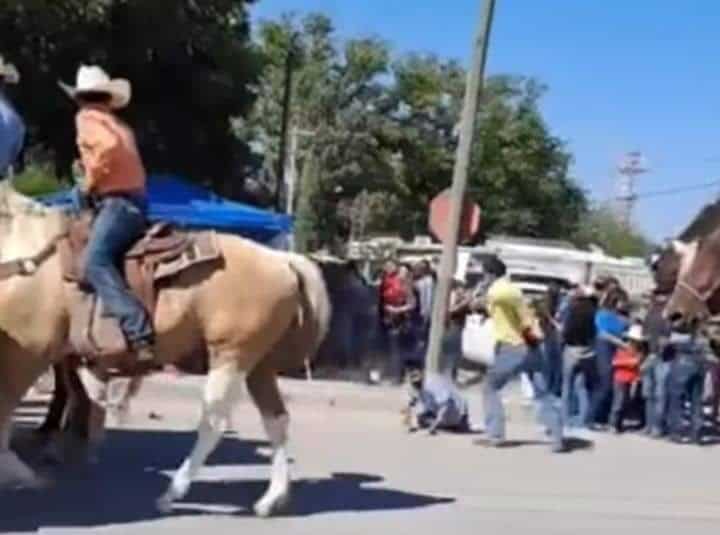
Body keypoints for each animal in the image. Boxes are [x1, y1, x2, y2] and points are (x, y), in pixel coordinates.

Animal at [0, 182, 330, 516]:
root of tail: (283, 259)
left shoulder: (30, 350)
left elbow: (8, 405)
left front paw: (16, 470)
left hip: (231, 356)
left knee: (214, 423)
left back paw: (173, 493)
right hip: (258, 365)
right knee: (276, 420)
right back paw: (271, 498)